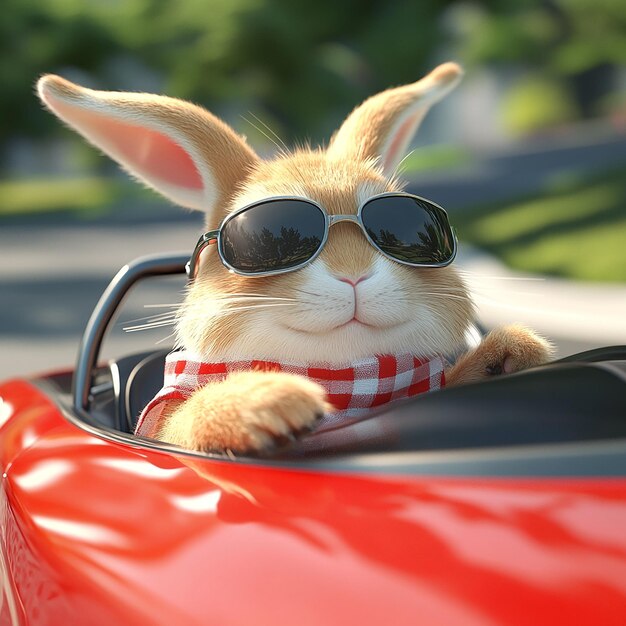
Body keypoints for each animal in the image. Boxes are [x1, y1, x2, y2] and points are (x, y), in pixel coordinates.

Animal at [36, 62, 548, 454]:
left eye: (409, 228)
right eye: (265, 237)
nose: (354, 276)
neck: (347, 377)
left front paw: (511, 353)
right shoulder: (166, 418)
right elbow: (186, 418)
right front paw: (267, 403)